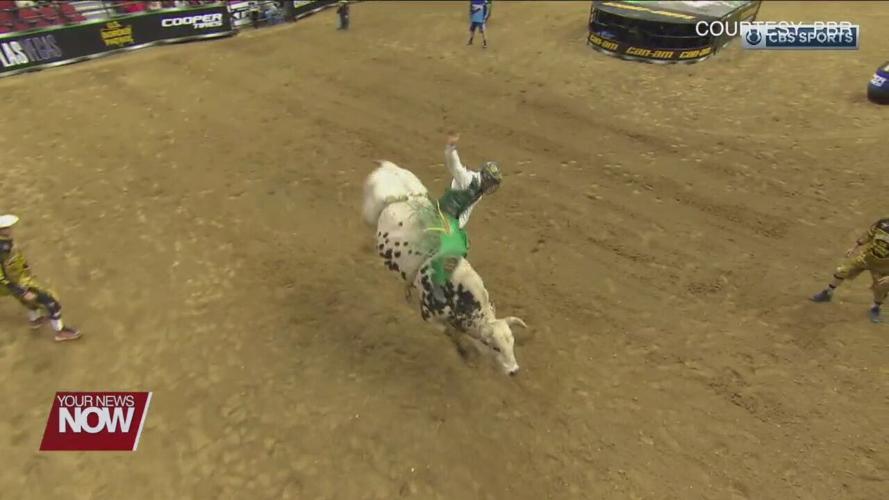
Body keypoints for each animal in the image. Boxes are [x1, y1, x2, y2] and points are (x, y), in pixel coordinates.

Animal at [362, 160, 527, 374]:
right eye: (495, 347)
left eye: (512, 342)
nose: (514, 371)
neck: (457, 289)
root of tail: (390, 170)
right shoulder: (429, 315)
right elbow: (451, 333)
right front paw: (467, 354)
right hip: (371, 211)